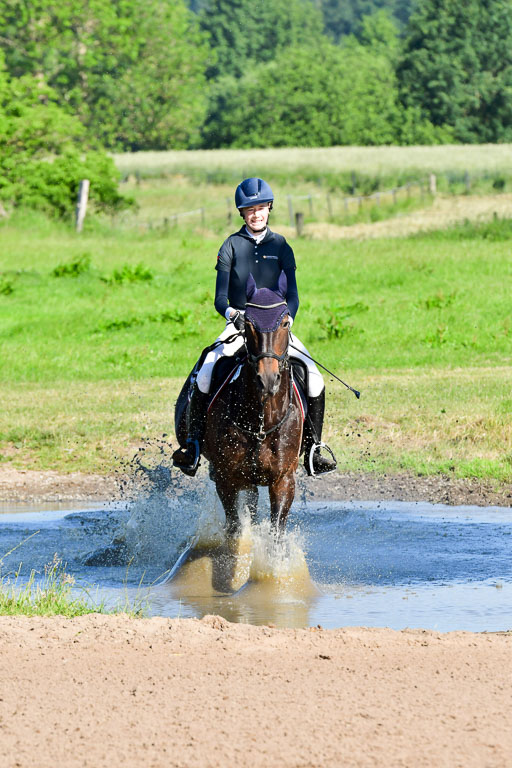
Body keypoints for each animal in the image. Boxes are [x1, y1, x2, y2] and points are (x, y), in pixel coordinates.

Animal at [176, 272, 304, 536]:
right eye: (248, 325)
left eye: (285, 323)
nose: (268, 379)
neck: (261, 421)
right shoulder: (228, 478)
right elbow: (235, 528)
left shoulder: (284, 479)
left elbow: (276, 531)